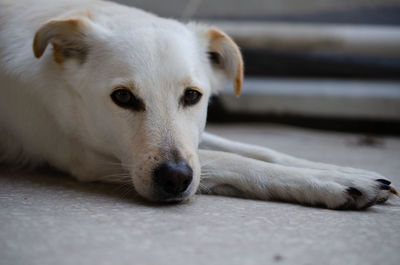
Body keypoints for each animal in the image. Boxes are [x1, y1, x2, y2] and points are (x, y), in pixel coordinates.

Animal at [0, 0, 396, 208]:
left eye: (192, 96)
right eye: (123, 97)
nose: (175, 178)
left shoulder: (193, 138)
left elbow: (261, 151)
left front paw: (336, 169)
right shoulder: (91, 157)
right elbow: (230, 160)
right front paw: (329, 181)